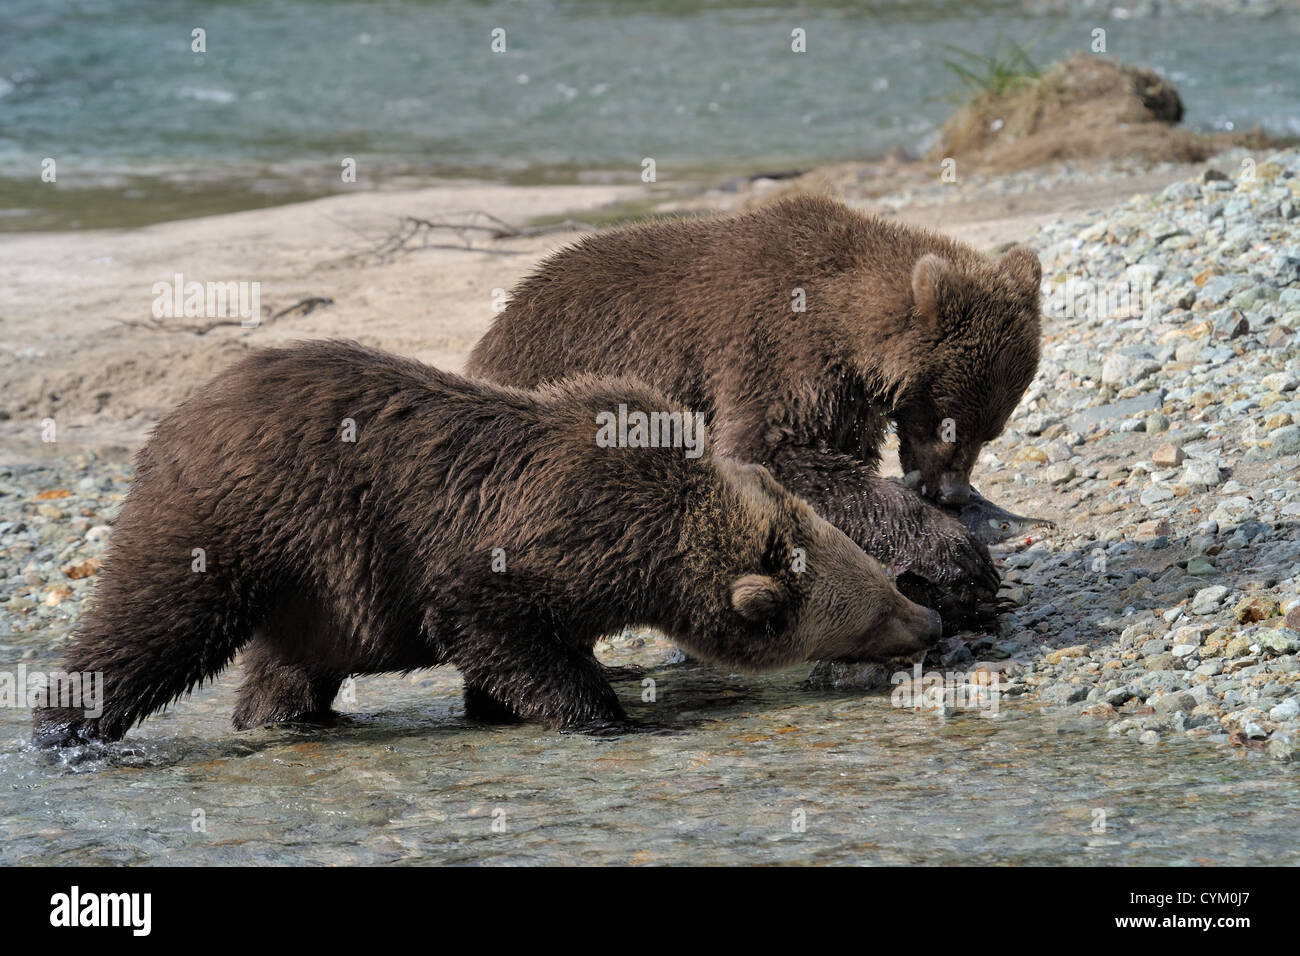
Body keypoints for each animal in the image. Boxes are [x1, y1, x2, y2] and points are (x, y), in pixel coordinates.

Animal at [32, 338, 946, 749]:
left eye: (886, 581)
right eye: (875, 609)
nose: (931, 623)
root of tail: (176, 416)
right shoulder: (519, 545)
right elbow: (490, 626)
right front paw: (608, 715)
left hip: (313, 581)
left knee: (286, 662)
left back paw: (293, 717)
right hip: (246, 520)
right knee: (155, 622)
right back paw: (66, 727)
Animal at [467, 195, 1045, 629]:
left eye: (991, 431)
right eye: (951, 424)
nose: (953, 492)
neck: (845, 328)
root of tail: (490, 340)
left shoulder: (844, 399)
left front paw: (954, 589)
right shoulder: (773, 351)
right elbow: (770, 454)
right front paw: (961, 553)